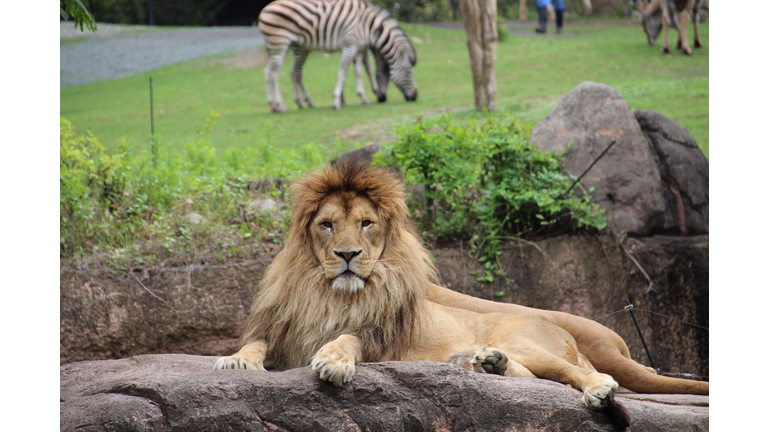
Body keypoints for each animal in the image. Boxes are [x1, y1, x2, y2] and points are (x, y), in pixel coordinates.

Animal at [214, 163, 708, 428]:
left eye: (366, 224)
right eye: (327, 225)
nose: (348, 254)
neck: (329, 293)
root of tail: (558, 325)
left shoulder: (381, 335)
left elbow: (348, 338)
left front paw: (334, 360)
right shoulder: (284, 329)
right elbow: (257, 342)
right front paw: (236, 360)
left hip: (527, 339)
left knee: (575, 374)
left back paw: (595, 388)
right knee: (534, 377)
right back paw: (488, 364)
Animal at [258, 0, 416, 113]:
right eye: (409, 71)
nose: (416, 96)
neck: (368, 26)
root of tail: (264, 10)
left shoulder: (358, 48)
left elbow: (359, 72)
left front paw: (362, 98)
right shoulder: (349, 45)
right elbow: (344, 72)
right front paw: (337, 101)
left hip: (282, 47)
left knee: (270, 71)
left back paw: (275, 105)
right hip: (281, 44)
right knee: (275, 73)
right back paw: (282, 106)